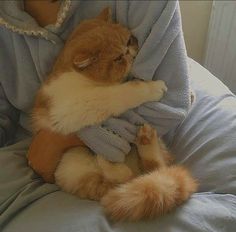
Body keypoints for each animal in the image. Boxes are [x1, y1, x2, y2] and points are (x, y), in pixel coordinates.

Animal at [30, 7, 197, 221]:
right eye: (118, 58)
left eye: (129, 41)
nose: (131, 53)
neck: (77, 77)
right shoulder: (72, 106)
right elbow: (121, 93)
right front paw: (152, 88)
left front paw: (190, 93)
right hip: (74, 164)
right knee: (126, 176)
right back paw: (113, 158)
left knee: (153, 169)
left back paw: (146, 140)